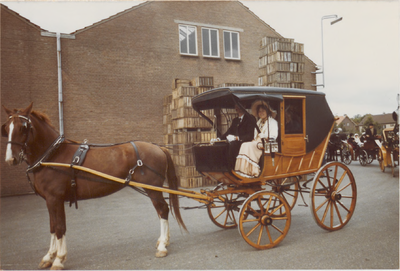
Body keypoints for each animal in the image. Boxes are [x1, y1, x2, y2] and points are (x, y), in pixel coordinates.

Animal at [1, 103, 187, 270]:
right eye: (7, 128)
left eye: (23, 127)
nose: (11, 159)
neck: (52, 156)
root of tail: (158, 147)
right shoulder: (49, 200)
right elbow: (53, 226)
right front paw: (48, 257)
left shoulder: (55, 198)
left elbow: (60, 227)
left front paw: (59, 260)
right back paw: (163, 241)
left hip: (153, 188)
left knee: (163, 210)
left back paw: (162, 246)